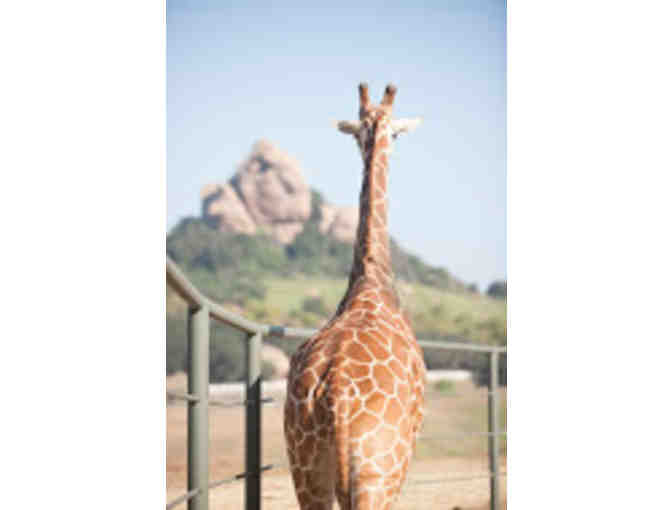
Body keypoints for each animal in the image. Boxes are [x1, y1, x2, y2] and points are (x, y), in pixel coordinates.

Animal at [284, 83, 426, 510]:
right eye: (397, 134)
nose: (372, 143)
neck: (371, 282)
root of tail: (334, 394)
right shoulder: (402, 459)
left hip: (306, 468)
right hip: (378, 472)